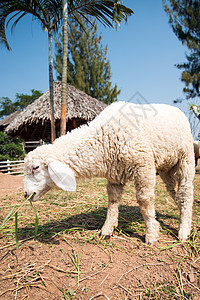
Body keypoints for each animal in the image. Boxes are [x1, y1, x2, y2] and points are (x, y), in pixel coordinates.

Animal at [23, 102, 195, 245]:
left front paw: (151, 234)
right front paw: (107, 229)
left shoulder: (143, 164)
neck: (101, 139)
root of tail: (177, 109)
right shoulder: (114, 175)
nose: (25, 194)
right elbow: (112, 200)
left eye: (35, 167)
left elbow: (145, 201)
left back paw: (183, 231)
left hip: (186, 157)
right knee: (175, 192)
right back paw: (181, 213)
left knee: (186, 191)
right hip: (167, 167)